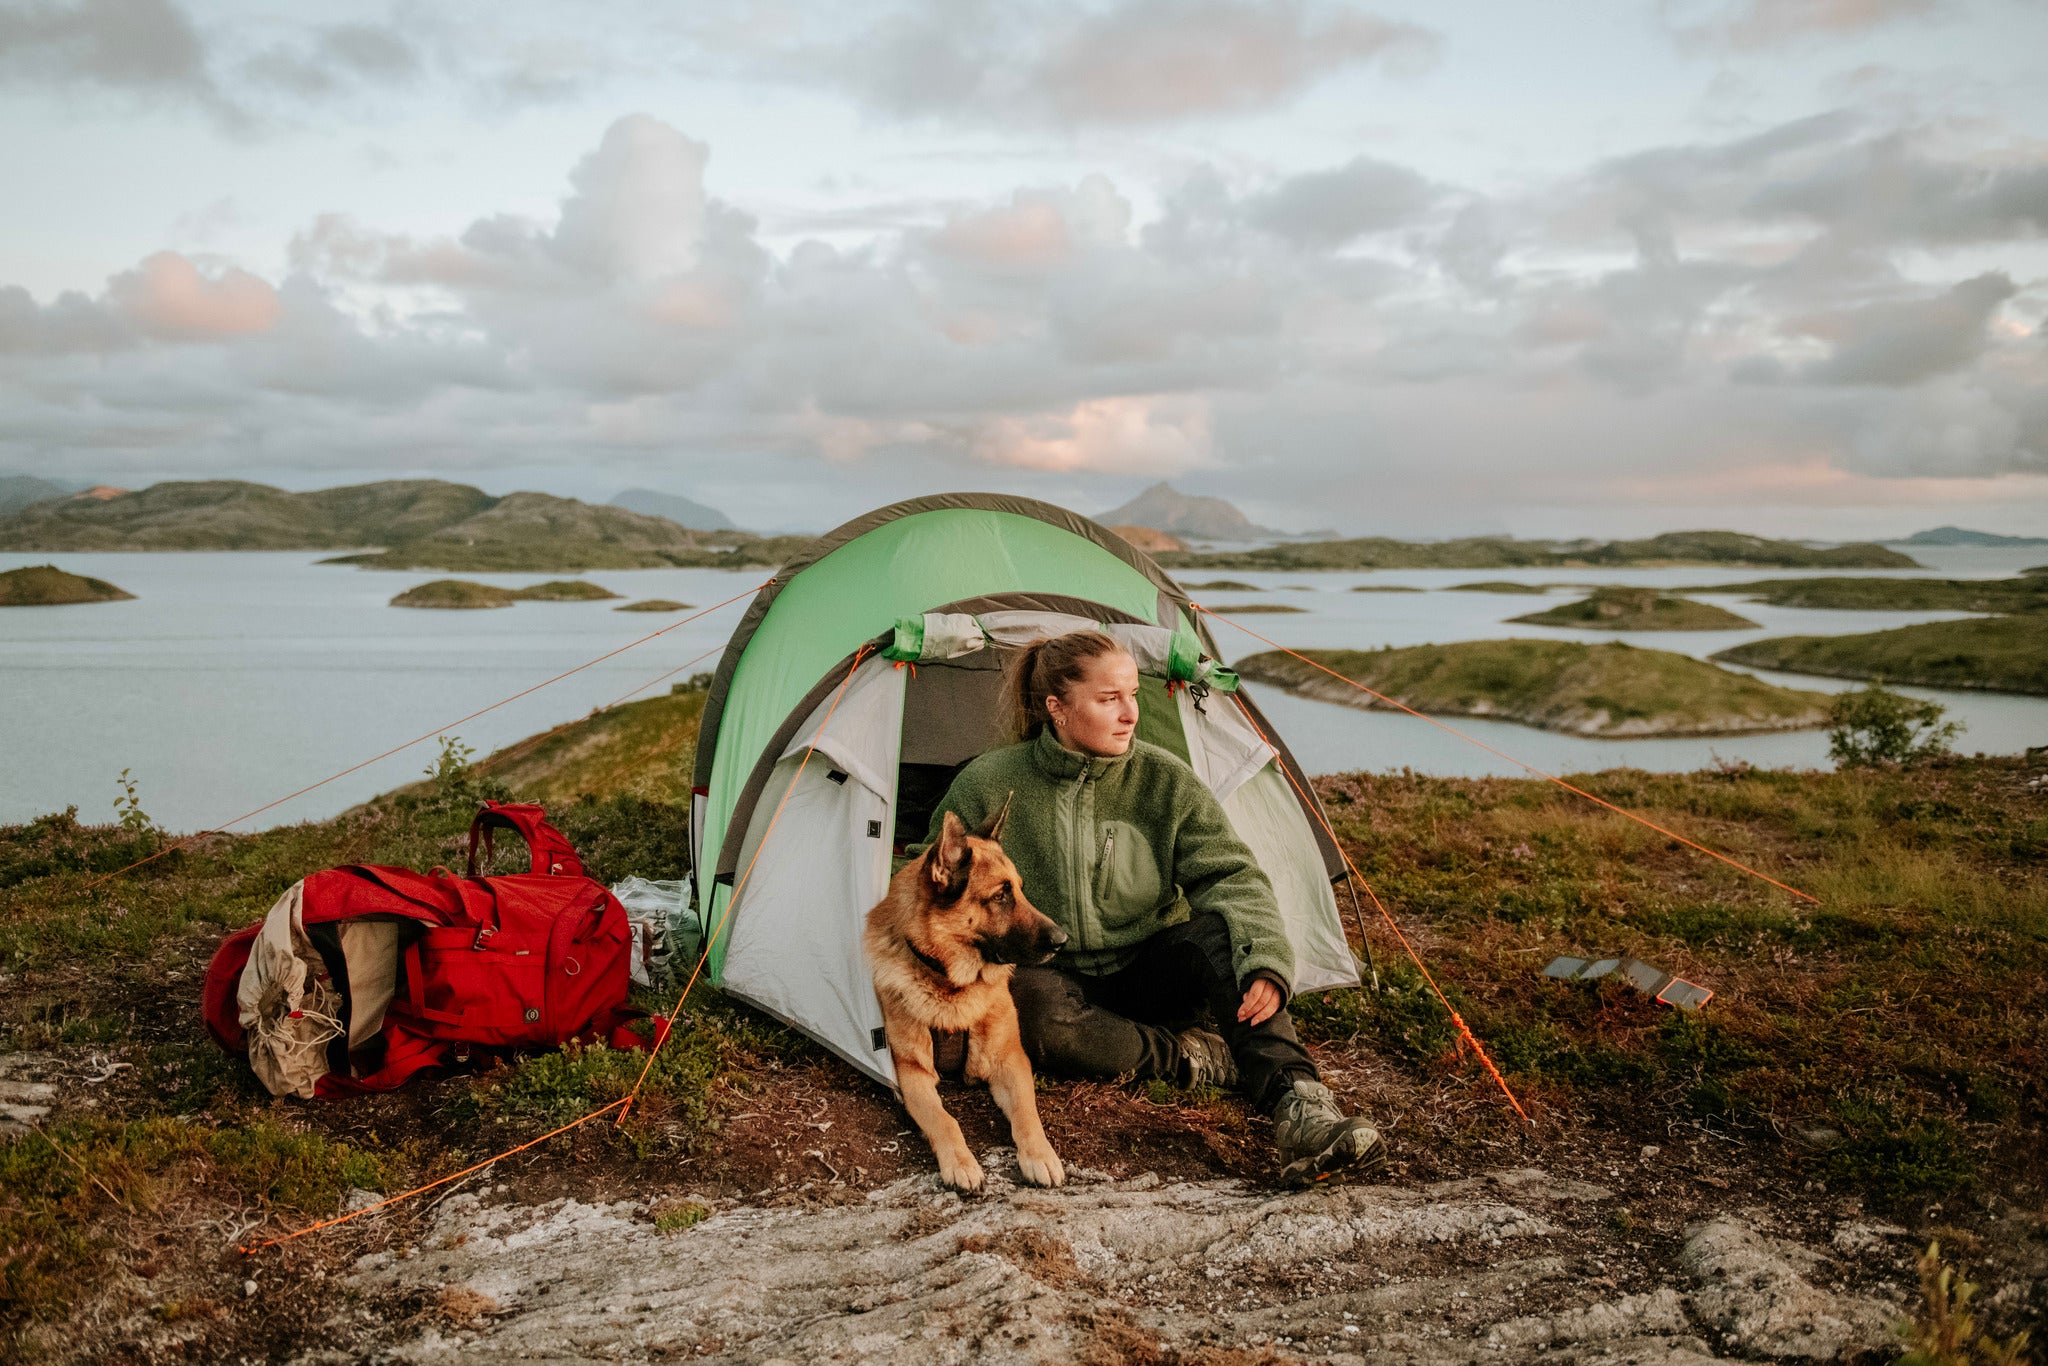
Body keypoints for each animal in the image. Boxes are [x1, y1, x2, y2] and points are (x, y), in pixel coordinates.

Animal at [860, 802, 1073, 1196]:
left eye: (1020, 890)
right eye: (1000, 895)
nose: (1062, 940)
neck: (953, 987)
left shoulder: (1011, 1061)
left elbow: (1027, 1114)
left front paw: (1040, 1155)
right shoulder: (912, 1074)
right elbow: (945, 1120)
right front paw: (961, 1164)